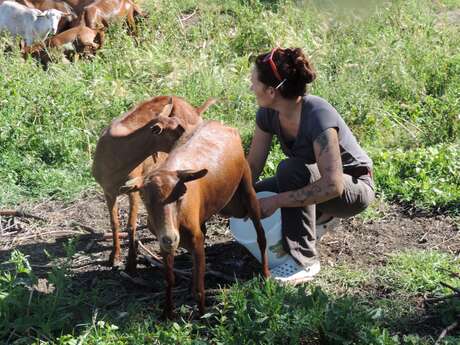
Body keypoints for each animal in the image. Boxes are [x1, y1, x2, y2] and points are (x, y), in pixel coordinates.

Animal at [93, 95, 216, 272]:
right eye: (177, 131)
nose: (195, 135)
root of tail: (196, 109)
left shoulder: (133, 188)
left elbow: (131, 225)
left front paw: (131, 262)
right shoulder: (108, 191)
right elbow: (114, 223)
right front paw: (114, 257)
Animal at [122, 120, 272, 318]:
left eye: (180, 196)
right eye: (145, 199)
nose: (171, 238)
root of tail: (220, 124)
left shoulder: (195, 239)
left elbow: (200, 283)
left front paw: (202, 315)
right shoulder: (164, 242)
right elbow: (169, 278)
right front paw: (167, 312)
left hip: (246, 185)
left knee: (261, 234)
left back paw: (266, 275)